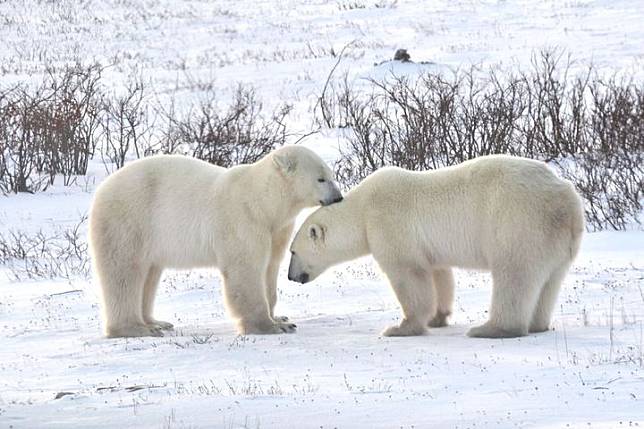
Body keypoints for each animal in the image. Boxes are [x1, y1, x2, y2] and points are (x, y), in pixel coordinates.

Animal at [90, 145, 344, 336]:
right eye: (321, 179)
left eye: (331, 175)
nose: (338, 197)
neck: (263, 202)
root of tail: (101, 189)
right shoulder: (243, 220)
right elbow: (246, 270)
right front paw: (268, 326)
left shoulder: (276, 229)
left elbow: (270, 268)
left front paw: (281, 318)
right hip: (129, 221)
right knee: (124, 273)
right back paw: (136, 328)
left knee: (149, 274)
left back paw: (156, 322)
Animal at [286, 155, 584, 338]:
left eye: (293, 251)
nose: (291, 276)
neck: (362, 210)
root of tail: (566, 200)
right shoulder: (430, 247)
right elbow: (439, 274)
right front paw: (437, 318)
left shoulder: (389, 223)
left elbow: (408, 275)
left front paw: (400, 327)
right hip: (556, 240)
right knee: (549, 280)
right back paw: (537, 324)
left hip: (518, 223)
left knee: (514, 275)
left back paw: (490, 329)